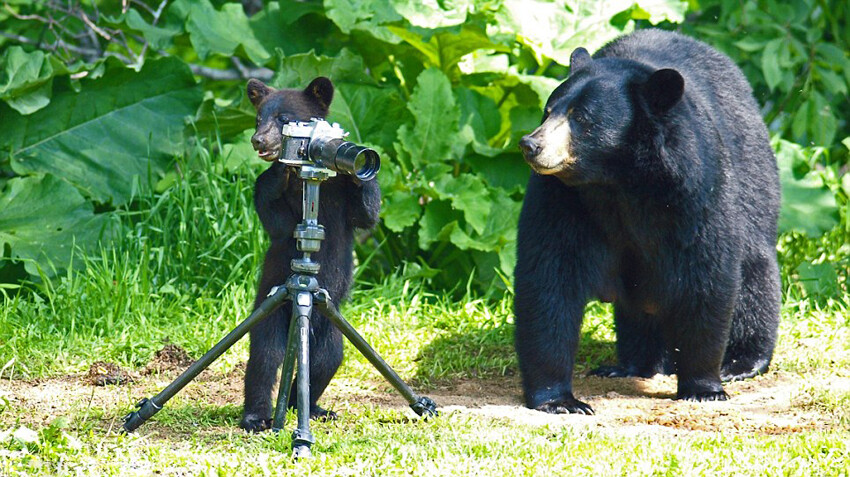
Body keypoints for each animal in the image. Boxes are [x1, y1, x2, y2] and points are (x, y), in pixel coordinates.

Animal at [242, 78, 380, 432]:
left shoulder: (343, 201)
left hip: (330, 331)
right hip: (272, 310)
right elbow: (278, 222)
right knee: (264, 359)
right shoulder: (273, 203)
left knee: (325, 362)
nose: (258, 140)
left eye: (284, 118)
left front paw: (358, 168)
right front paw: (281, 170)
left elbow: (367, 214)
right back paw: (257, 416)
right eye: (258, 118)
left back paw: (311, 407)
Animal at [512, 28, 780, 412]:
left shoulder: (693, 189)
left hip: (753, 172)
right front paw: (560, 399)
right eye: (548, 111)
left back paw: (742, 361)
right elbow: (550, 276)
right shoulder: (562, 199)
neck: (619, 180)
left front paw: (703, 387)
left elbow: (706, 274)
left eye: (582, 119)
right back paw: (632, 364)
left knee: (754, 270)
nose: (530, 145)